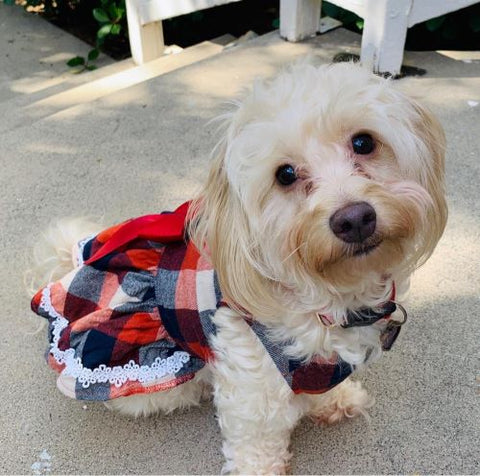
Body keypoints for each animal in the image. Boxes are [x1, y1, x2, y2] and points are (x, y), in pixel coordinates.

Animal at [31, 62, 446, 472]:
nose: (355, 218)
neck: (326, 294)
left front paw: (334, 400)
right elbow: (256, 442)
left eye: (363, 142)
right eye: (285, 175)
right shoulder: (253, 385)